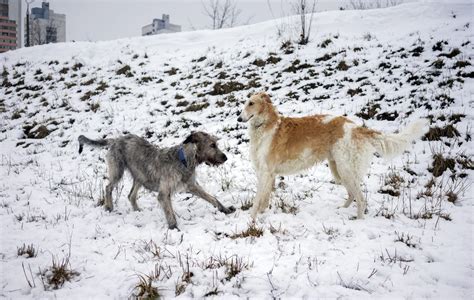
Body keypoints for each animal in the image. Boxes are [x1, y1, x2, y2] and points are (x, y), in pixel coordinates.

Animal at [78, 132, 236, 230]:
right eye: (212, 145)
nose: (225, 157)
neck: (183, 160)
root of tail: (116, 139)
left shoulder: (192, 186)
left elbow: (212, 198)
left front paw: (225, 209)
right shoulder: (164, 193)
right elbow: (170, 213)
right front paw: (174, 228)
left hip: (140, 176)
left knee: (131, 195)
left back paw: (137, 211)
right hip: (118, 171)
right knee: (108, 187)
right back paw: (109, 207)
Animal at [239, 92, 428, 219]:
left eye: (251, 103)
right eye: (245, 103)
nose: (239, 118)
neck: (265, 126)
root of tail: (357, 128)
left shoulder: (265, 172)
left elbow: (257, 199)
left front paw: (251, 219)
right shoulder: (270, 174)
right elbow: (264, 199)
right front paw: (262, 214)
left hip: (345, 169)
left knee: (361, 199)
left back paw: (359, 220)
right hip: (338, 168)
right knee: (352, 194)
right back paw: (342, 209)